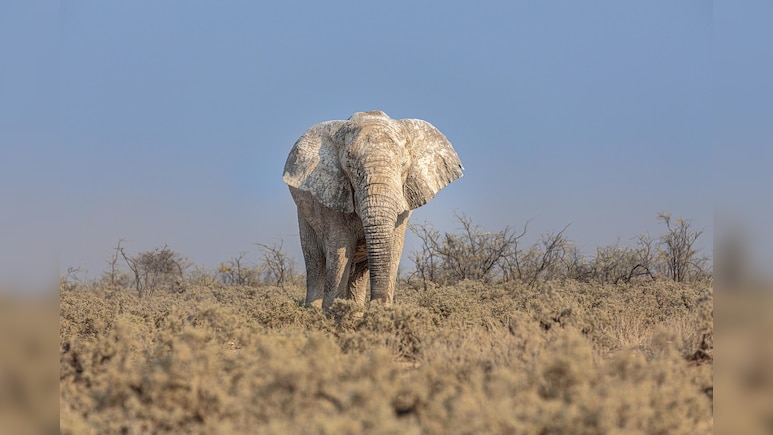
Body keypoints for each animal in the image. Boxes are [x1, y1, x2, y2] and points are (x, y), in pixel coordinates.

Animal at [283, 110, 463, 310]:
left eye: (403, 165)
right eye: (350, 167)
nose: (377, 303)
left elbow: (394, 249)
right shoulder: (331, 196)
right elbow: (339, 251)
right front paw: (333, 312)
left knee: (358, 273)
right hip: (305, 215)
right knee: (315, 262)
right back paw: (313, 310)